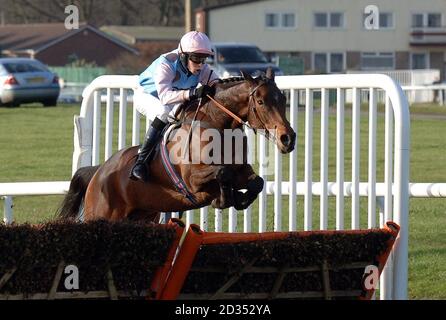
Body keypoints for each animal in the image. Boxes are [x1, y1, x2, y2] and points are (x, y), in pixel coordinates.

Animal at [58, 67, 296, 222]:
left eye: (283, 99)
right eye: (261, 102)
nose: (288, 138)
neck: (217, 125)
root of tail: (99, 172)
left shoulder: (242, 171)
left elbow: (257, 182)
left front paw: (239, 199)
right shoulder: (192, 180)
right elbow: (223, 173)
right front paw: (225, 199)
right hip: (101, 215)